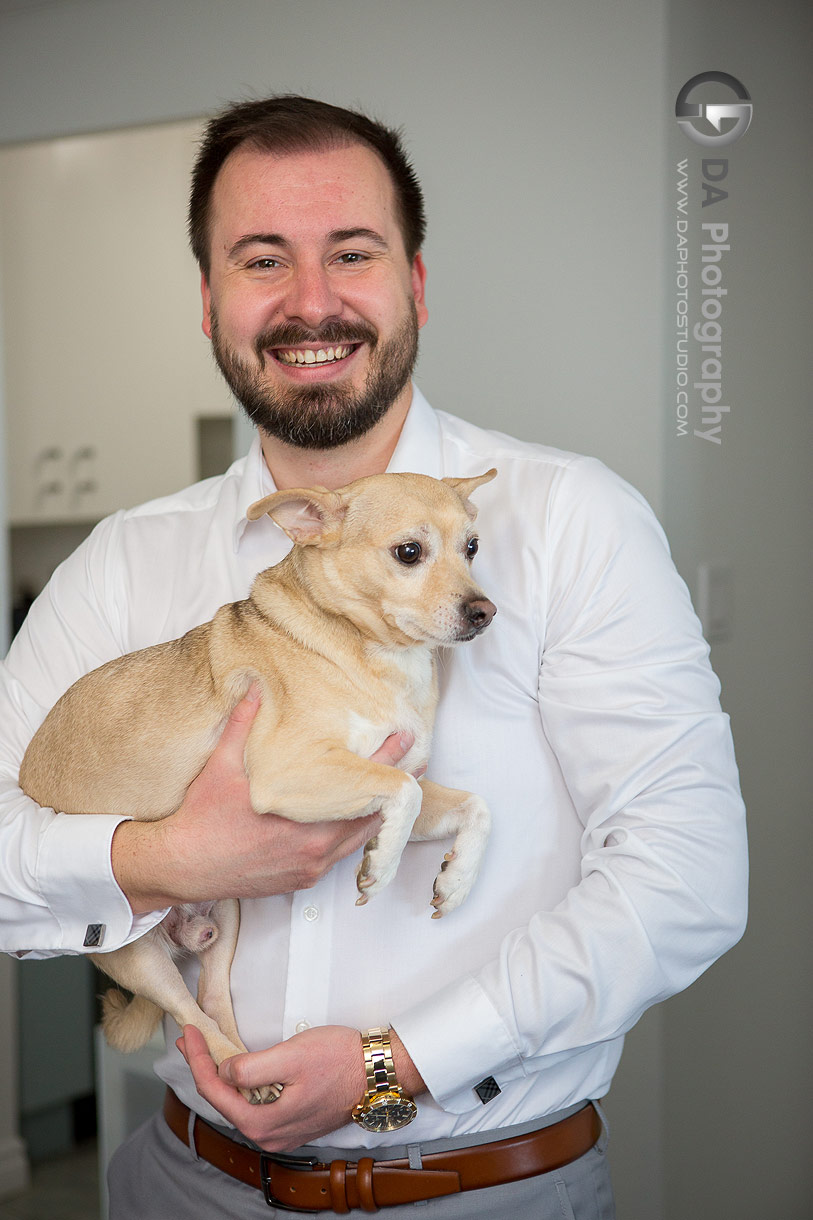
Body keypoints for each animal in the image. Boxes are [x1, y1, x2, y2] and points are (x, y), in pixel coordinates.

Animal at [20, 470, 493, 1102]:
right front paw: (383, 865)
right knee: (190, 1018)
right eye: (409, 552)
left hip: (228, 915)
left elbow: (474, 804)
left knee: (212, 997)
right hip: (138, 954)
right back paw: (230, 1069)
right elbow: (404, 790)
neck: (371, 652)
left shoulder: (393, 772)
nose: (485, 611)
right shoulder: (288, 774)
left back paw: (248, 1071)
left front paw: (457, 881)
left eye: (472, 548)